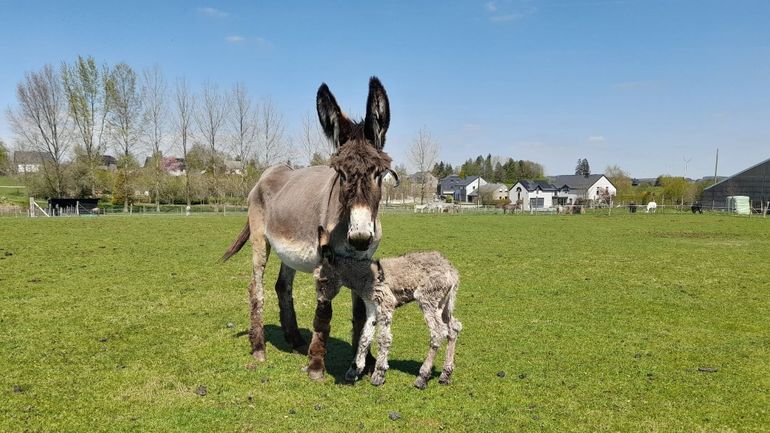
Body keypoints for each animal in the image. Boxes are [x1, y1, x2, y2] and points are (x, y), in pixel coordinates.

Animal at [219, 77, 392, 378]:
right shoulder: (326, 261)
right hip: (260, 239)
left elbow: (360, 311)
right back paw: (259, 347)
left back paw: (296, 340)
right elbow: (324, 312)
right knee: (256, 287)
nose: (359, 237)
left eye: (378, 173)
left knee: (282, 286)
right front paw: (315, 367)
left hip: (288, 248)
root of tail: (268, 172)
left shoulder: (363, 260)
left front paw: (364, 361)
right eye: (341, 174)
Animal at [314, 226, 462, 388]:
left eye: (323, 280)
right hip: (444, 303)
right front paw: (354, 370)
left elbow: (383, 338)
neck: (366, 276)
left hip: (427, 299)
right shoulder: (372, 307)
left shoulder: (386, 303)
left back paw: (422, 377)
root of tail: (451, 270)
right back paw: (445, 375)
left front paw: (379, 374)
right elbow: (364, 338)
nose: (321, 302)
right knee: (453, 328)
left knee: (438, 332)